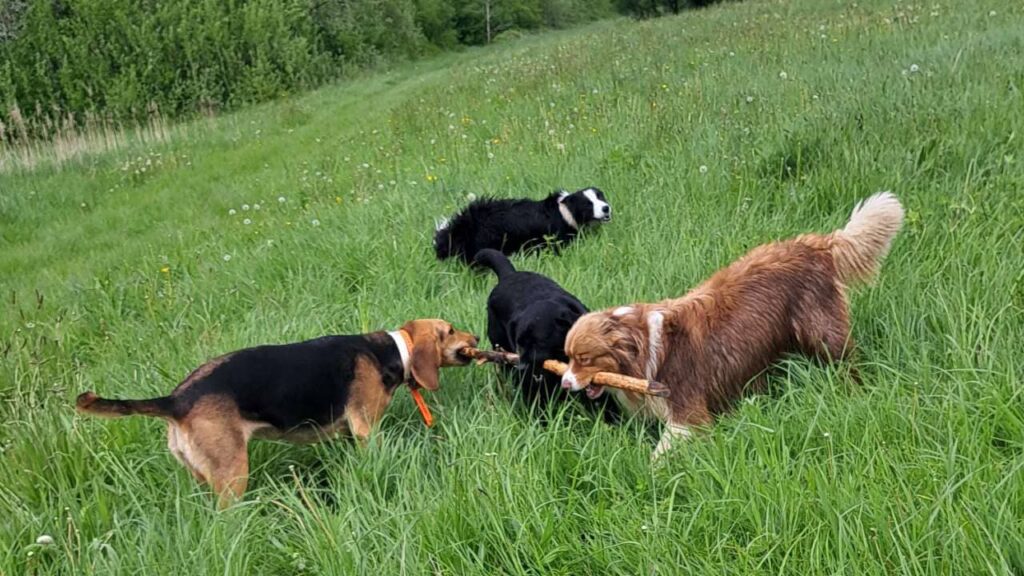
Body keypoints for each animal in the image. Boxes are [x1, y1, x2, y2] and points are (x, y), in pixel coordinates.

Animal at [561, 192, 905, 457]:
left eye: (584, 359)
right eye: (568, 358)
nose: (564, 382)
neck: (645, 345)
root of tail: (816, 244)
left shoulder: (687, 415)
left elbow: (659, 455)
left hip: (822, 334)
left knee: (846, 364)